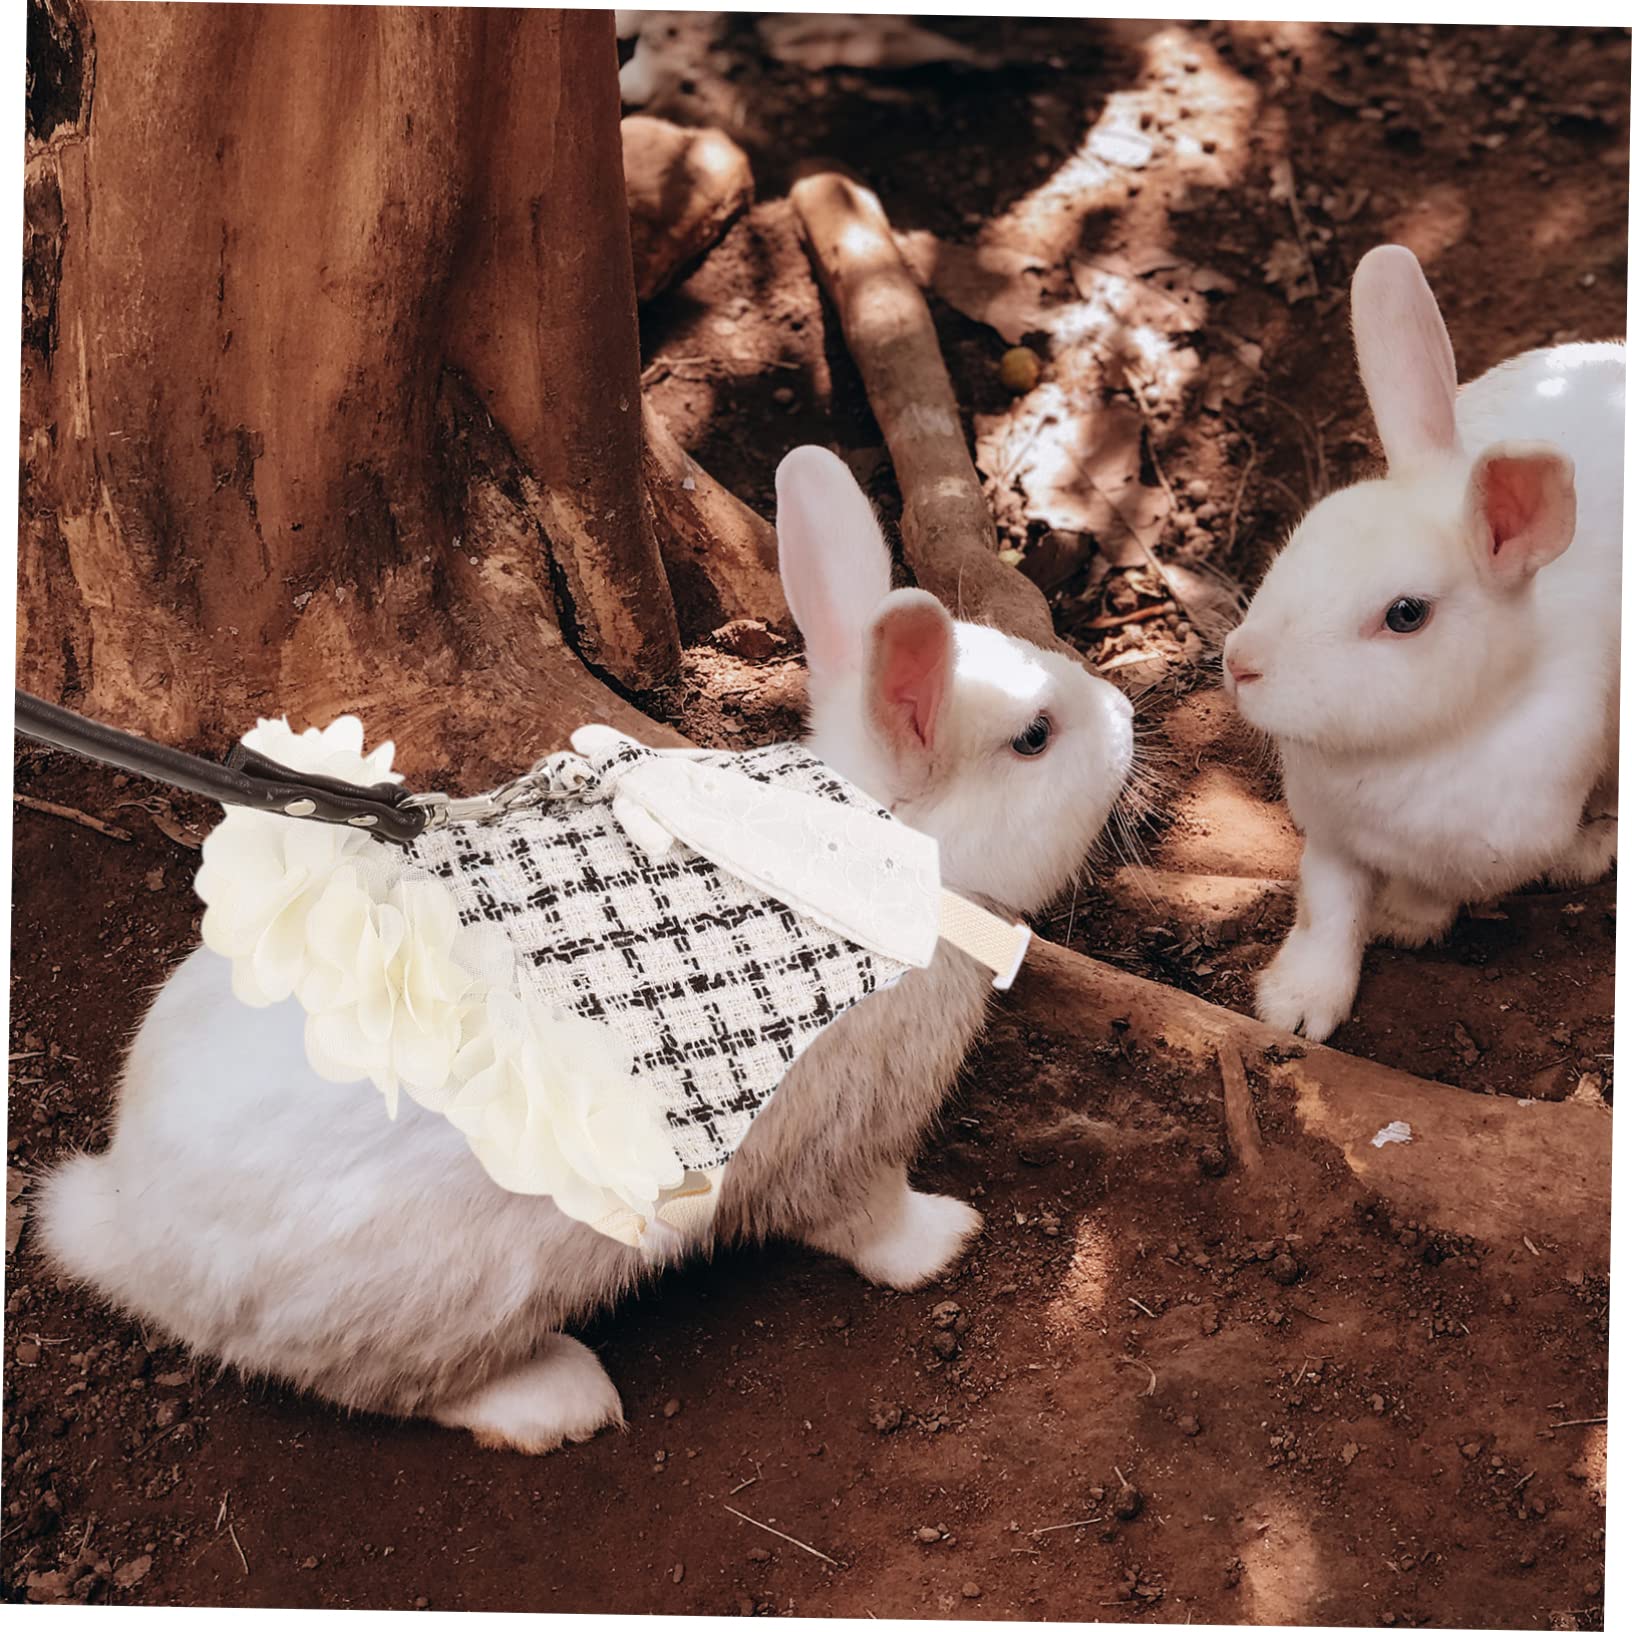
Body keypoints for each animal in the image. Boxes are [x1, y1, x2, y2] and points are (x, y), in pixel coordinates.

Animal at [38, 444, 1134, 1454]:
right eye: (1035, 739)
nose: (1127, 716)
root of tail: (128, 1232)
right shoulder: (845, 1136)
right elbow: (864, 1222)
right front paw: (947, 1239)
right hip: (453, 1293)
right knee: (392, 1386)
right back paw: (558, 1400)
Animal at [1222, 244, 1623, 1044]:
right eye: (1306, 534)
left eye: (1405, 615)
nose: (1240, 665)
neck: (1418, 748)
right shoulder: (1331, 842)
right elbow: (1325, 912)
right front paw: (1296, 1007)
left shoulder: (1474, 853)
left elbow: (1427, 893)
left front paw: (1405, 922)